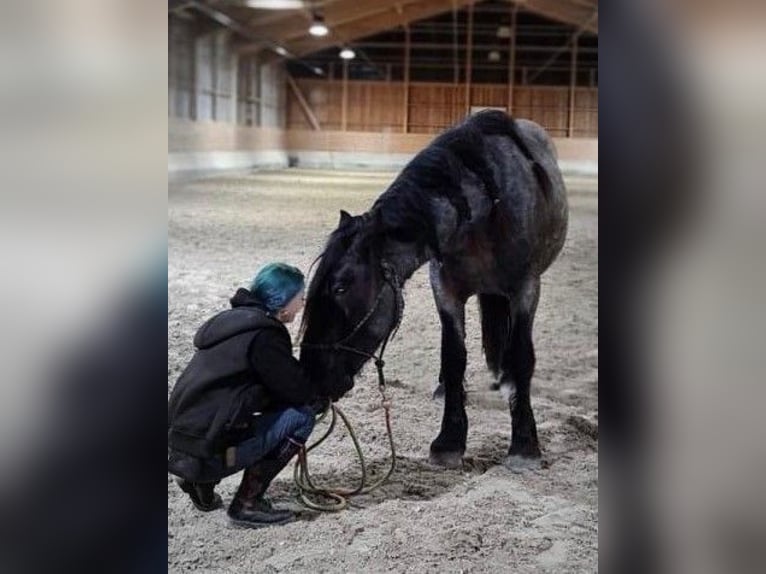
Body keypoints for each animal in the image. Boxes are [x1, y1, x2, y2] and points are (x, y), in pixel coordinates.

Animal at [300, 110, 568, 470]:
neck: (487, 211)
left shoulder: (526, 290)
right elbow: (453, 357)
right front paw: (449, 440)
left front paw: (524, 443)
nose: (310, 378)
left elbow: (522, 356)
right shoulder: (446, 291)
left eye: (341, 287)